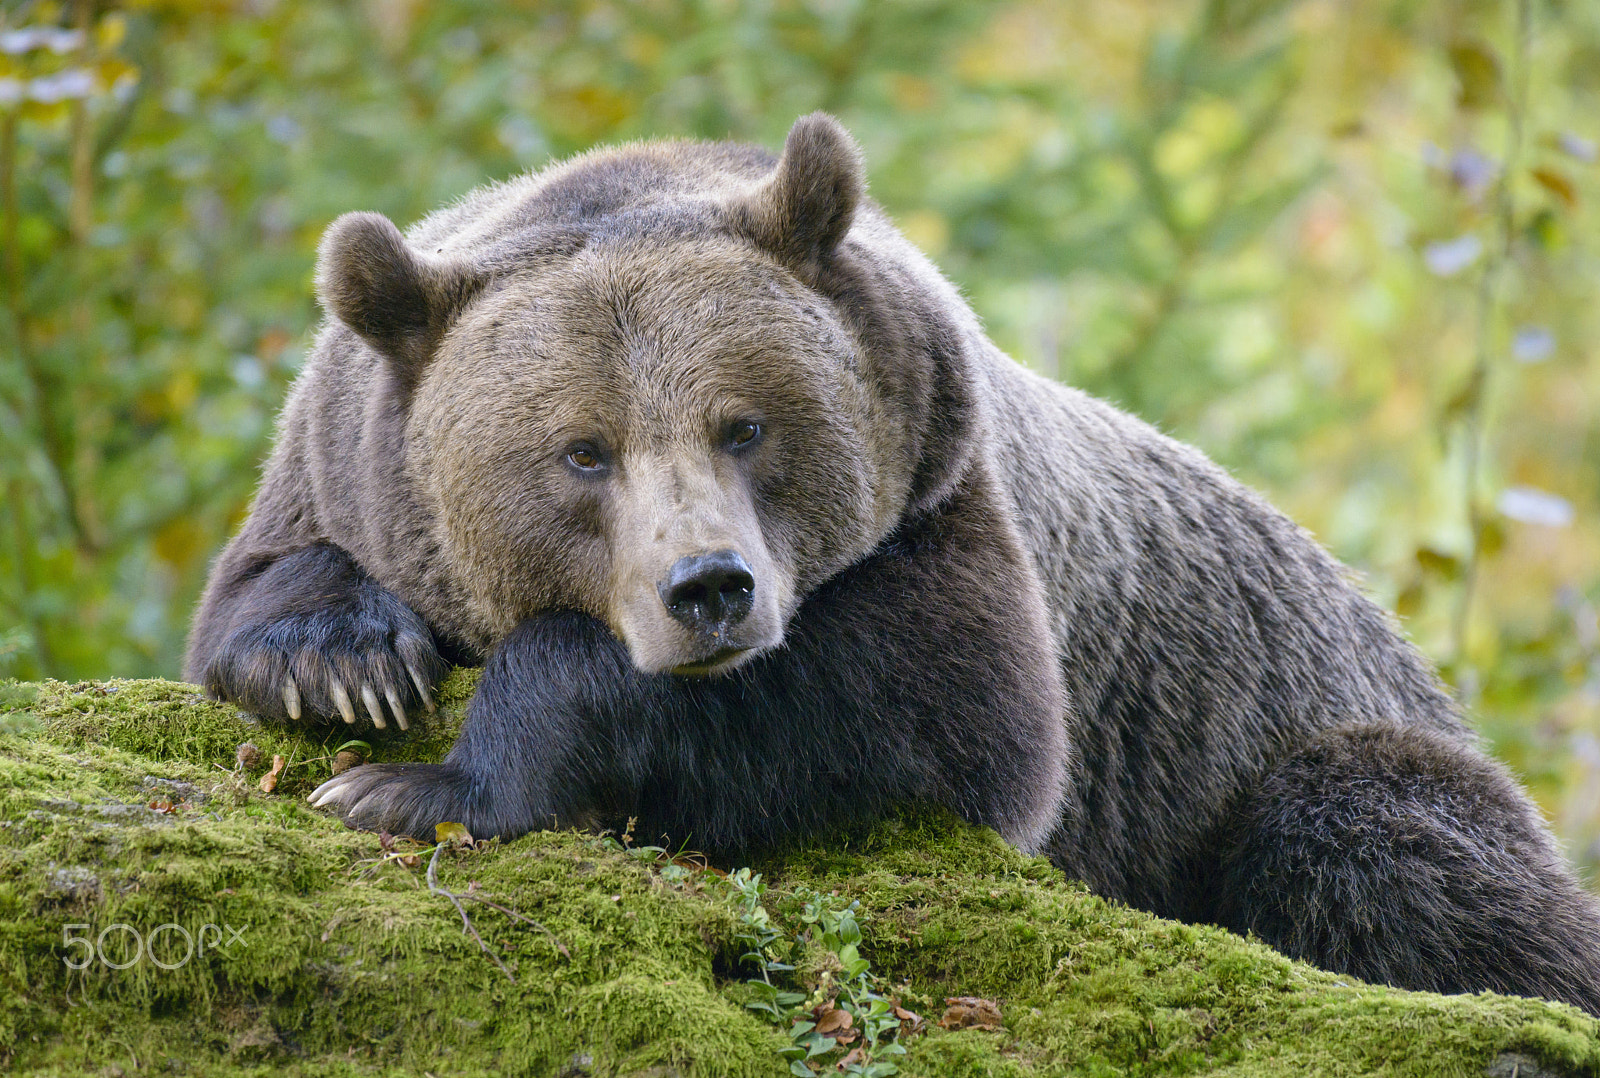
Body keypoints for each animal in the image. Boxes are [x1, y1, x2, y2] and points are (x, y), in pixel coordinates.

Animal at [186, 113, 1600, 1015]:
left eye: (745, 424)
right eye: (581, 451)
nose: (709, 589)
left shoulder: (944, 496)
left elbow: (936, 714)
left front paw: (417, 784)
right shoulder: (337, 454)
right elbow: (255, 594)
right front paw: (340, 666)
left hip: (1304, 733)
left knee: (1375, 832)